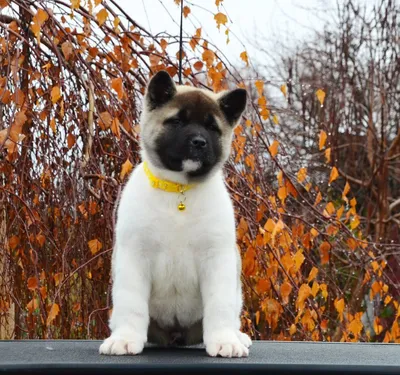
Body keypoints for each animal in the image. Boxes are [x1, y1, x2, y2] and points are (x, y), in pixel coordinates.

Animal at [99, 71, 252, 358]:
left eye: (212, 128)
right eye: (178, 121)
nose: (199, 142)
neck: (179, 190)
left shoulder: (217, 259)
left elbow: (220, 305)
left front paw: (224, 340)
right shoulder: (134, 256)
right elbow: (131, 303)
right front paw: (125, 338)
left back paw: (237, 335)